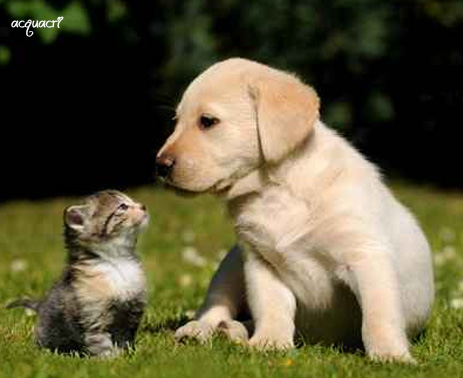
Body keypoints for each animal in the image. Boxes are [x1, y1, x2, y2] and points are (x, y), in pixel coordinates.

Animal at [7, 190, 149, 358]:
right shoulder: (94, 318)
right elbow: (101, 342)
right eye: (123, 206)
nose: (143, 206)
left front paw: (127, 355)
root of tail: (41, 305)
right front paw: (110, 359)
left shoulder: (131, 312)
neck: (117, 262)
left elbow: (125, 338)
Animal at [159, 58, 436, 364]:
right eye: (176, 122)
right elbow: (272, 307)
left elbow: (378, 314)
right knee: (216, 304)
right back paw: (203, 329)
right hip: (231, 264)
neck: (275, 190)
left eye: (207, 121)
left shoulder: (365, 255)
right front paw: (269, 342)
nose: (160, 165)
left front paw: (390, 354)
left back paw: (232, 330)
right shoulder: (261, 262)